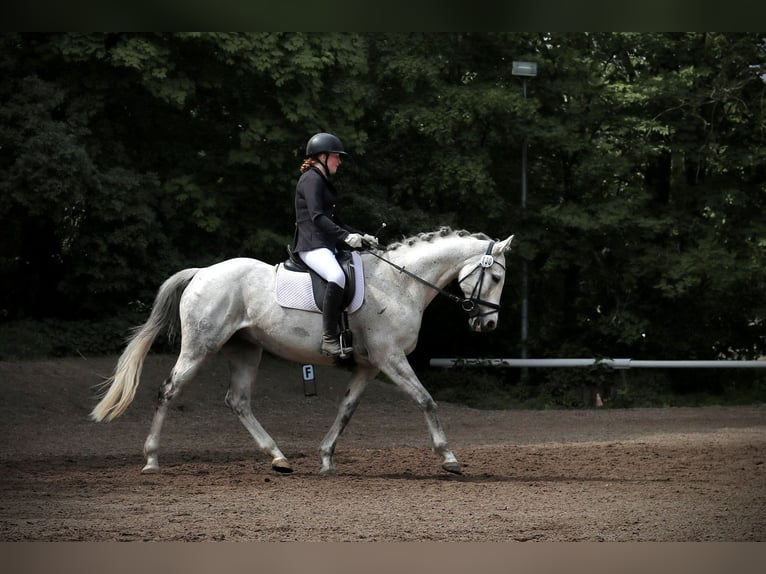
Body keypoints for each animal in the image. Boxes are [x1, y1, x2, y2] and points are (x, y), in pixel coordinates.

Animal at [94, 228, 516, 476]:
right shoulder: (390, 358)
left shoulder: (368, 365)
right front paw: (449, 458)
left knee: (238, 401)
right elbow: (426, 400)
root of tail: (201, 272)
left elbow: (346, 409)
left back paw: (278, 457)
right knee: (168, 391)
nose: (489, 324)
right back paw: (151, 459)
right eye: (495, 276)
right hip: (201, 346)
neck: (398, 284)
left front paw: (326, 458)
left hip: (246, 350)